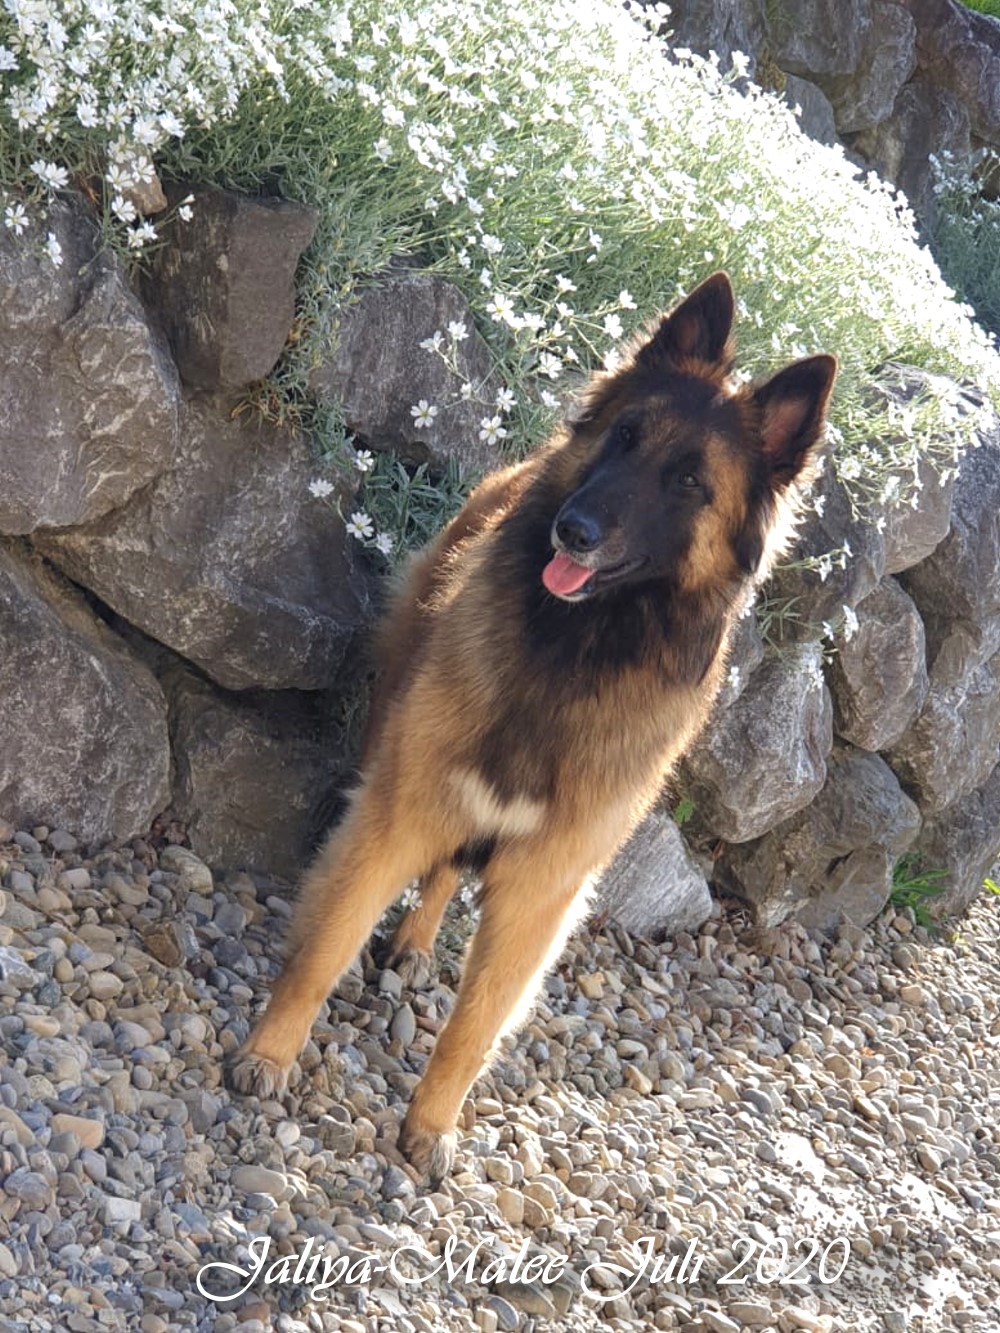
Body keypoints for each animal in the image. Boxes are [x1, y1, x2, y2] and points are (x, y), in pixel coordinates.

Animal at [229, 272, 837, 1181]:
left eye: (691, 483)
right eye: (624, 435)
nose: (572, 530)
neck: (571, 656)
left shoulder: (542, 889)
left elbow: (476, 1025)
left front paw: (432, 1124)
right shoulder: (398, 814)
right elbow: (325, 946)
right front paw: (270, 1053)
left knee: (447, 878)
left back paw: (417, 942)